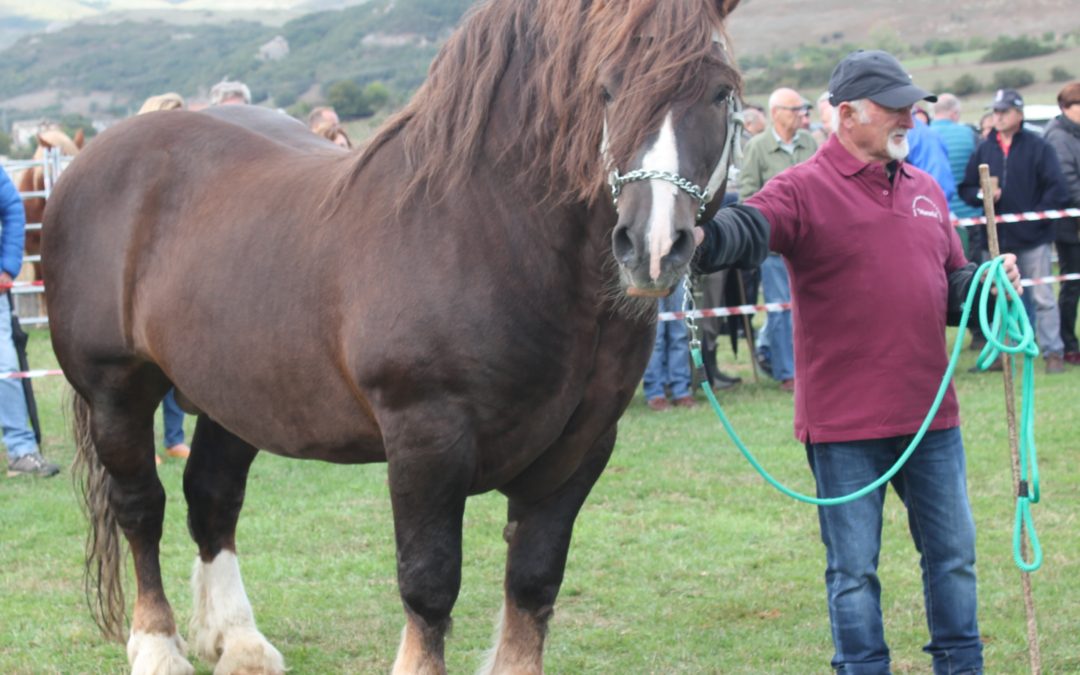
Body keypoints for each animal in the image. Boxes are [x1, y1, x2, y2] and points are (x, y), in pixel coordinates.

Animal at [44, 0, 743, 669]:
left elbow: (533, 586)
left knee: (212, 498)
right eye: (605, 88)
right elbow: (429, 587)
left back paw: (239, 645)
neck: (486, 230)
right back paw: (157, 647)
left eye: (721, 92)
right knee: (141, 509)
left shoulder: (579, 450)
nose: (653, 246)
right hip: (117, 392)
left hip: (234, 395)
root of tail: (90, 161)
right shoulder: (425, 440)